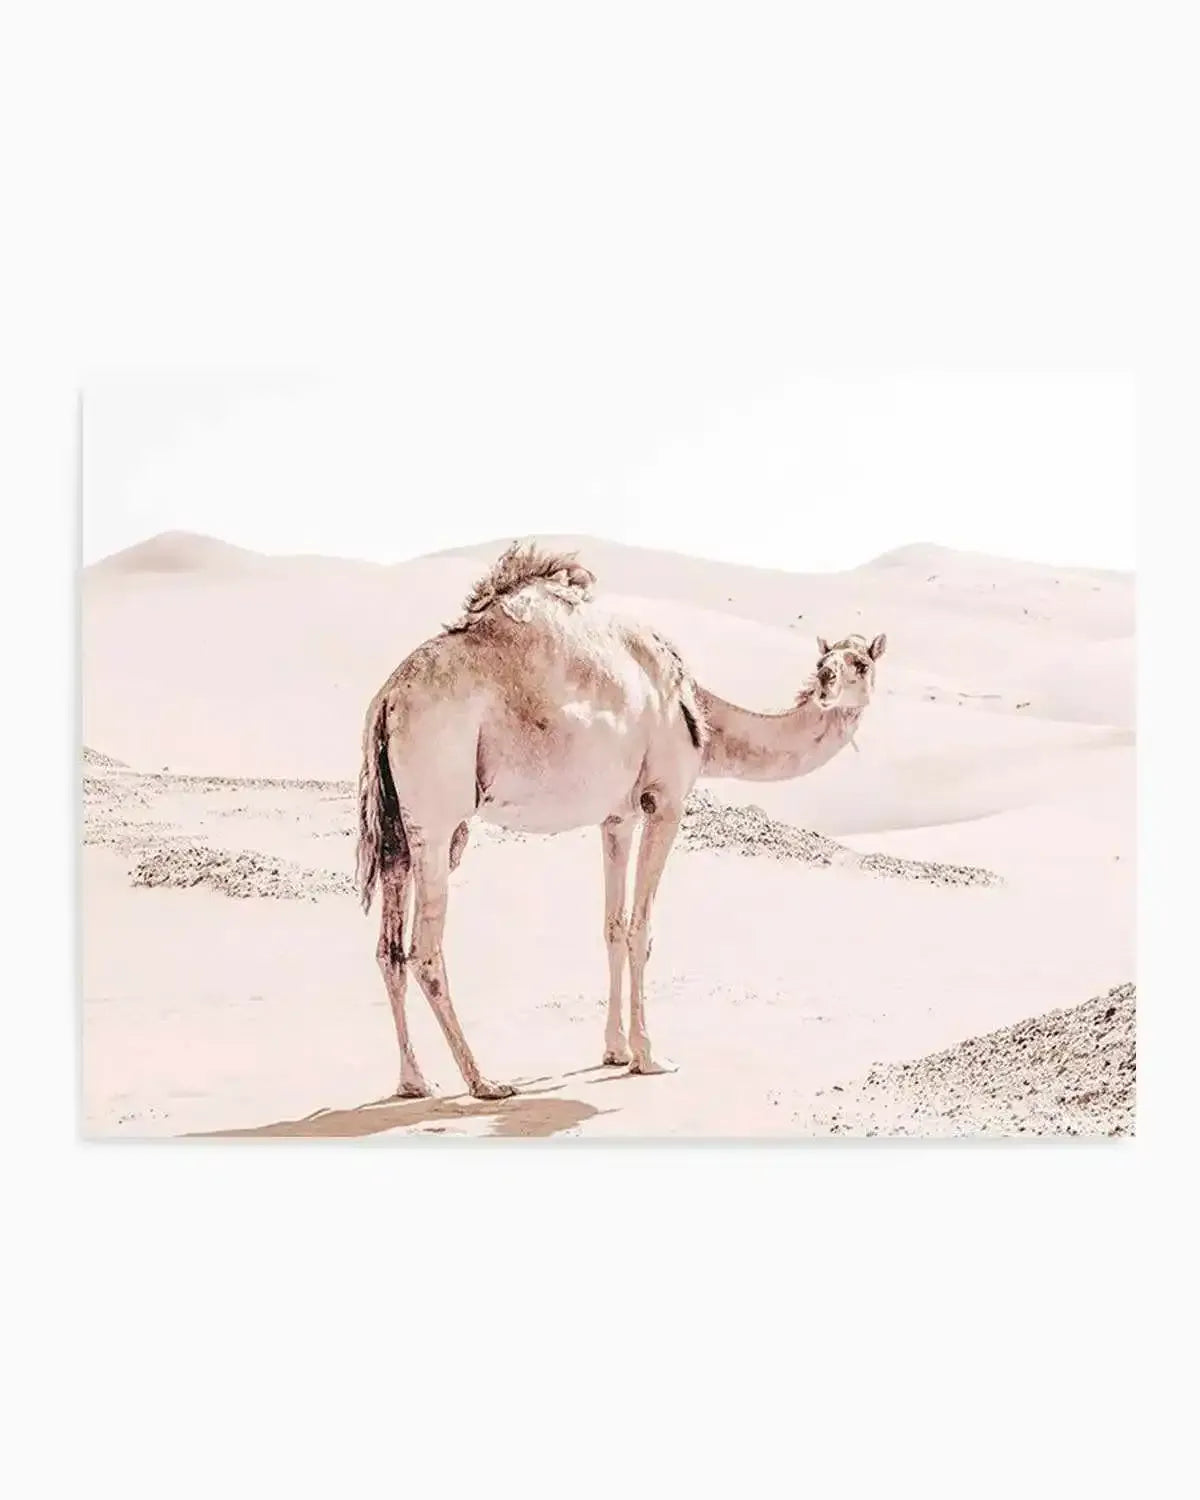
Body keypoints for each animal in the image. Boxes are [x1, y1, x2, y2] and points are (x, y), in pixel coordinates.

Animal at [356, 542, 886, 1099]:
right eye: (829, 661)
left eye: (859, 662)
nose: (827, 682)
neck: (701, 716)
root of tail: (387, 697)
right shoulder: (665, 802)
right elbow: (641, 927)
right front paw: (648, 1056)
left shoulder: (618, 816)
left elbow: (612, 924)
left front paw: (613, 1050)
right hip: (438, 816)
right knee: (425, 950)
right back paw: (484, 1080)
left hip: (397, 825)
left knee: (389, 948)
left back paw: (415, 1080)